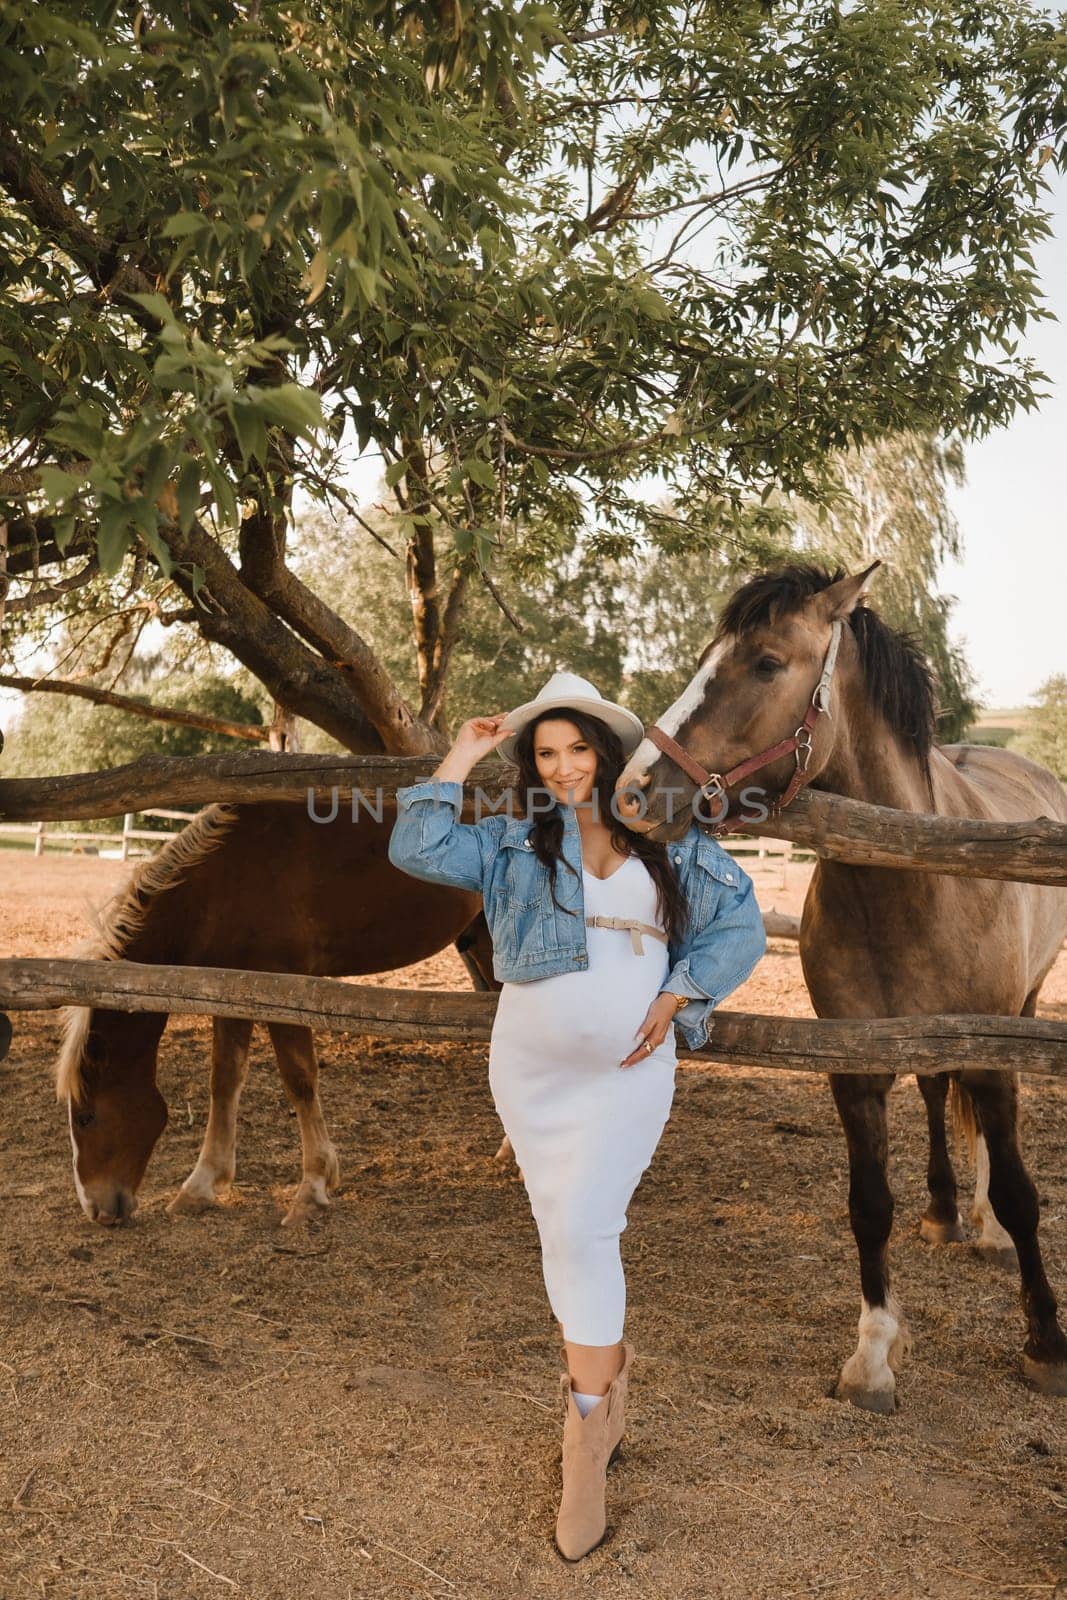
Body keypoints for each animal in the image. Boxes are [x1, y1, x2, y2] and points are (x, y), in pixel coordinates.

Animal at [57, 800, 492, 1222]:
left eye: (87, 1117)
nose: (96, 1210)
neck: (220, 884)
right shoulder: (227, 994)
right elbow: (224, 1080)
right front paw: (201, 1185)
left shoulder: (288, 990)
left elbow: (299, 1081)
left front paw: (312, 1189)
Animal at [617, 566, 1067, 1414]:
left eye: (765, 662)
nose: (630, 793)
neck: (912, 877)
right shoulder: (852, 1068)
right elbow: (868, 1207)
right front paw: (872, 1356)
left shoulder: (991, 1053)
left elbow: (1024, 1196)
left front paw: (1045, 1343)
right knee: (934, 1096)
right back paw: (943, 1212)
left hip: (1017, 1019)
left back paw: (981, 1225)